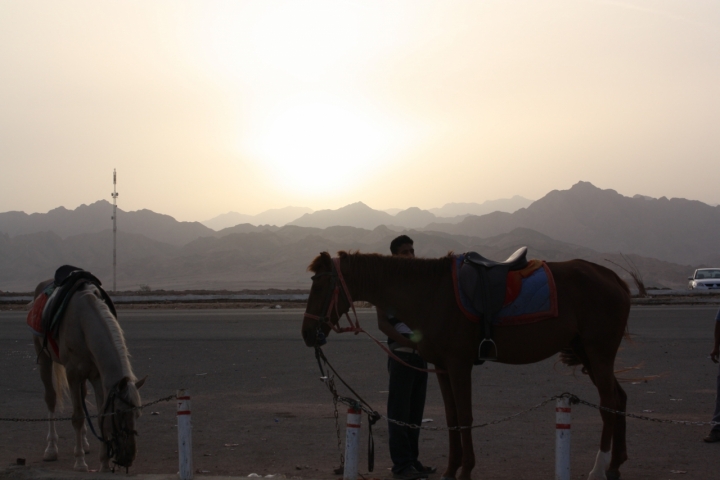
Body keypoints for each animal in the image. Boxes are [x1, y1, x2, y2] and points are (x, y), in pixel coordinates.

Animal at [31, 280, 147, 470]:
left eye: (137, 414)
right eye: (119, 413)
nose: (129, 457)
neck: (83, 323)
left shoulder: (97, 377)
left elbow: (100, 416)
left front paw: (104, 463)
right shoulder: (72, 374)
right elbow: (77, 416)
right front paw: (79, 462)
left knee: (83, 396)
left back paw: (84, 444)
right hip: (44, 358)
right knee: (51, 398)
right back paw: (51, 448)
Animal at [302, 251, 632, 480]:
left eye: (319, 286)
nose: (307, 334)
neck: (431, 293)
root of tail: (613, 277)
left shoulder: (459, 365)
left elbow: (465, 416)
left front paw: (466, 469)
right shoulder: (443, 367)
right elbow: (451, 418)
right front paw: (451, 469)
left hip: (598, 352)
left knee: (608, 403)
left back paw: (598, 469)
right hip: (587, 352)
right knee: (619, 398)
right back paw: (615, 464)